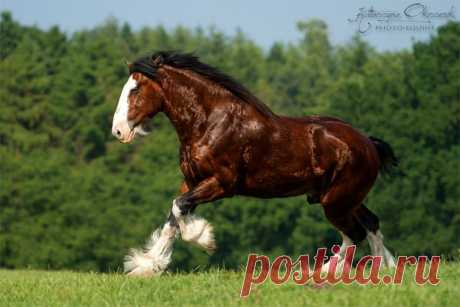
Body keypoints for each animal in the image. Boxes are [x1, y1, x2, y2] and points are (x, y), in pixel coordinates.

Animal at [111, 50, 398, 276]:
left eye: (135, 89)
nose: (118, 131)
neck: (210, 122)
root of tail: (369, 143)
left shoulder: (222, 184)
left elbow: (180, 208)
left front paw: (203, 238)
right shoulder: (191, 181)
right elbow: (173, 216)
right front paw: (148, 266)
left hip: (336, 201)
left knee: (355, 233)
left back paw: (324, 273)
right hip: (346, 198)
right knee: (370, 224)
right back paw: (385, 269)